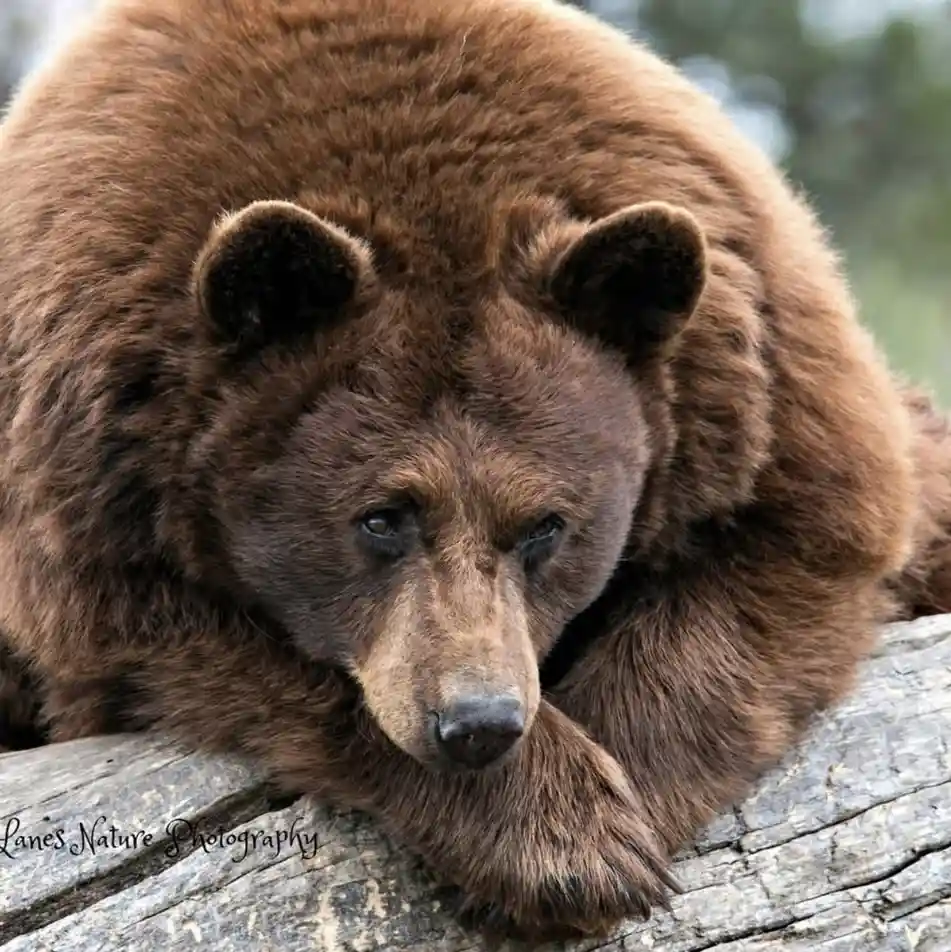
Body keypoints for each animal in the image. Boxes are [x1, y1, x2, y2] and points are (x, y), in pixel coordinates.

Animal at [1, 0, 950, 940]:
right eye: (380, 516)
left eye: (547, 525)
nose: (478, 723)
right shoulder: (93, 465)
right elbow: (222, 650)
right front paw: (555, 840)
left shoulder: (760, 380)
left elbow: (777, 570)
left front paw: (610, 818)